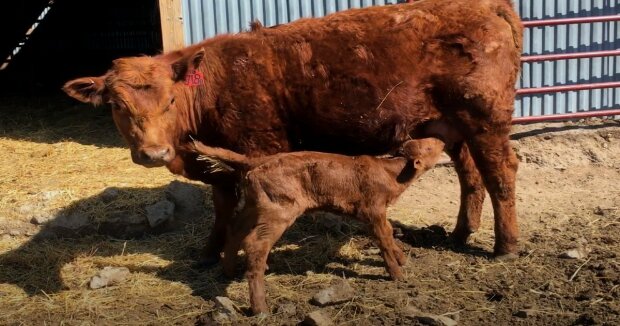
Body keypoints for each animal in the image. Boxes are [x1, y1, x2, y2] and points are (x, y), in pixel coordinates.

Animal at [63, 0, 520, 262]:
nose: (153, 154)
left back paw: (506, 247)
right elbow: (221, 209)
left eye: (171, 100)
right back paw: (461, 233)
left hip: (487, 119)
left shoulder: (257, 150)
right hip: (453, 126)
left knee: (500, 174)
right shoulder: (221, 166)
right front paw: (209, 253)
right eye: (116, 106)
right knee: (471, 175)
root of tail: (489, 5)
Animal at [190, 137, 446, 314]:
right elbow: (383, 238)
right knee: (254, 244)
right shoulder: (373, 210)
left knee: (235, 229)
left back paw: (229, 271)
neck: (390, 172)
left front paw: (402, 259)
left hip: (256, 206)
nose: (442, 140)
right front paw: (397, 274)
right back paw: (260, 308)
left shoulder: (378, 213)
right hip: (279, 211)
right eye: (429, 147)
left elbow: (389, 233)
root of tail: (257, 160)